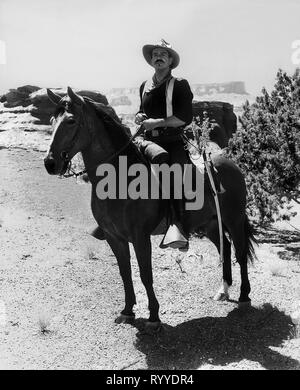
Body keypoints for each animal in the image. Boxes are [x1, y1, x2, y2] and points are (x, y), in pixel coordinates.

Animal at [44, 87, 255, 330]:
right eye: (51, 121)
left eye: (70, 121)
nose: (49, 163)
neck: (119, 179)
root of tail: (233, 166)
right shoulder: (114, 237)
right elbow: (125, 273)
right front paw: (127, 311)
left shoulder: (140, 237)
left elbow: (145, 274)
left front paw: (154, 317)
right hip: (210, 224)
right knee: (226, 248)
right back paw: (223, 290)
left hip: (234, 219)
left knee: (240, 252)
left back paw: (244, 296)